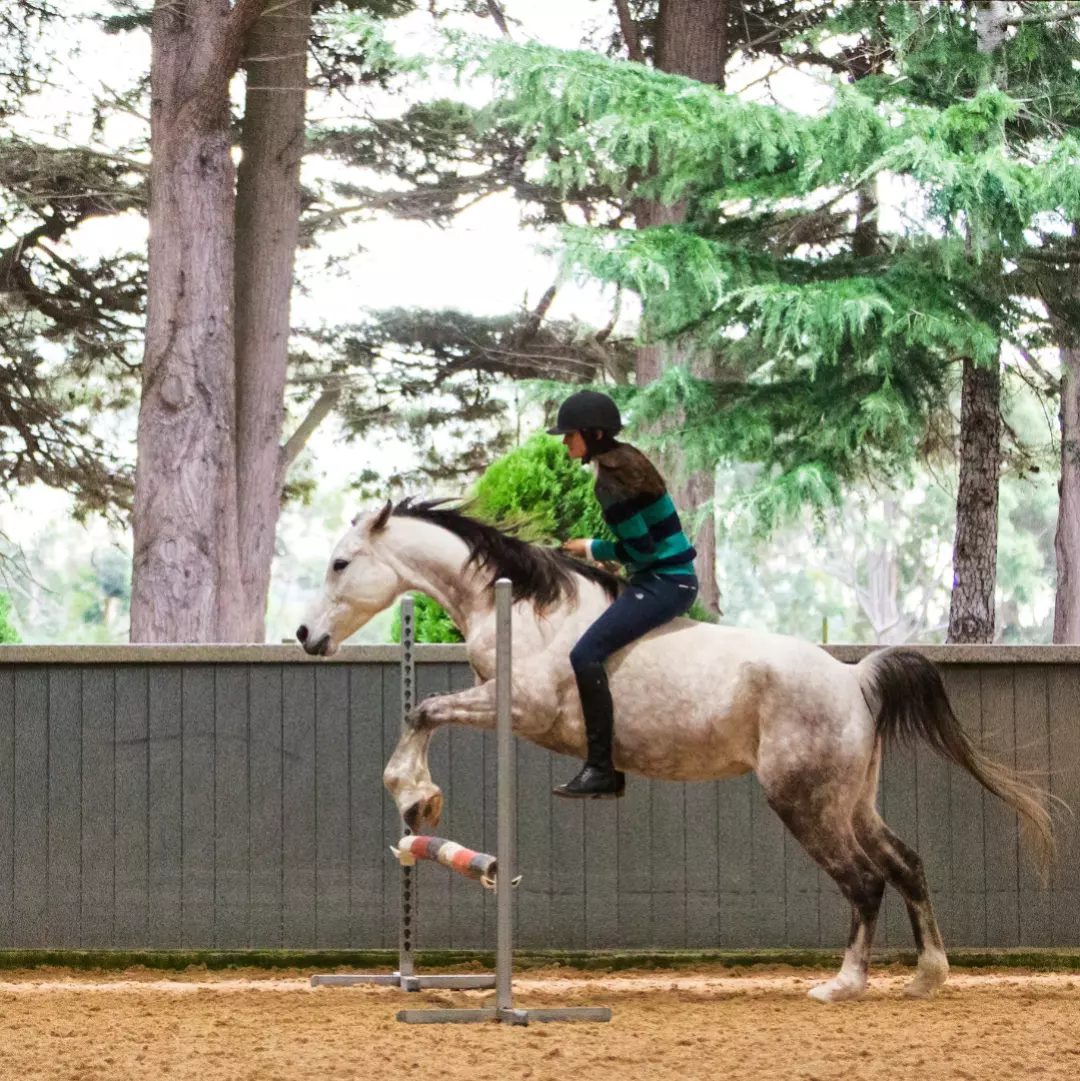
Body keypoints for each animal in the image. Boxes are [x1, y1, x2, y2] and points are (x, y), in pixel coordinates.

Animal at [297, 498, 1054, 1004]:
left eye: (340, 562)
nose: (305, 634)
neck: (525, 608)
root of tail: (852, 677)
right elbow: (422, 711)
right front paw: (416, 798)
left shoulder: (518, 708)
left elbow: (422, 709)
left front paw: (415, 793)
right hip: (850, 799)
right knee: (906, 863)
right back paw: (927, 976)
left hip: (803, 801)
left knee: (864, 880)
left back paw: (842, 984)